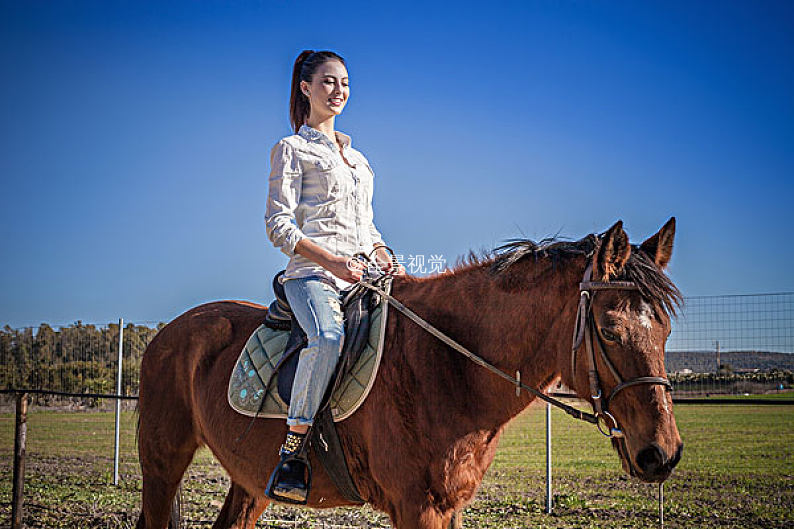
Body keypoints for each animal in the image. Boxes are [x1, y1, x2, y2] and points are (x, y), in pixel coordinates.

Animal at [135, 218, 680, 528]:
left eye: (666, 329)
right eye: (609, 331)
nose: (663, 454)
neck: (448, 365)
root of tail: (167, 333)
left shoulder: (447, 505)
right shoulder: (418, 507)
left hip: (249, 480)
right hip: (162, 463)